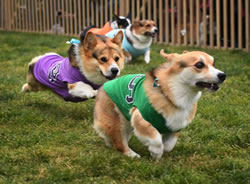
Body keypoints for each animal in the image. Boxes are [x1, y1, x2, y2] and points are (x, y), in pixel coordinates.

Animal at [94, 50, 227, 160]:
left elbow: (169, 144)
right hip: (117, 121)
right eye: (199, 65)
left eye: (213, 64)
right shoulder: (139, 117)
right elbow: (156, 139)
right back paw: (132, 154)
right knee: (119, 143)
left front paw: (163, 148)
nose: (223, 75)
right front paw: (156, 153)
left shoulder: (176, 125)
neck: (175, 94)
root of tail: (104, 86)